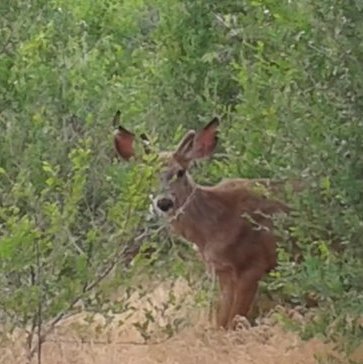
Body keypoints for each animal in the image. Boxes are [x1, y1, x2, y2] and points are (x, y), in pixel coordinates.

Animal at [113, 112, 296, 332]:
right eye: (147, 174)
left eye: (180, 171)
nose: (164, 202)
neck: (212, 228)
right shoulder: (221, 271)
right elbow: (221, 321)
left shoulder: (253, 264)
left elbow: (234, 320)